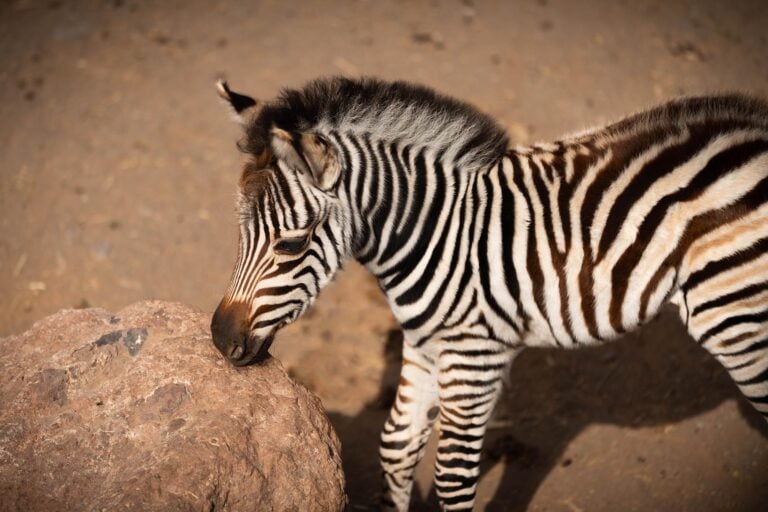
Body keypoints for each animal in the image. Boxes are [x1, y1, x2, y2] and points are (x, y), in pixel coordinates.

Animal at [210, 77, 768, 511]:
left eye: (292, 243)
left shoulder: (476, 356)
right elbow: (396, 447)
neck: (437, 233)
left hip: (736, 319)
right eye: (238, 233)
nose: (220, 340)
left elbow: (454, 478)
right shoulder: (424, 346)